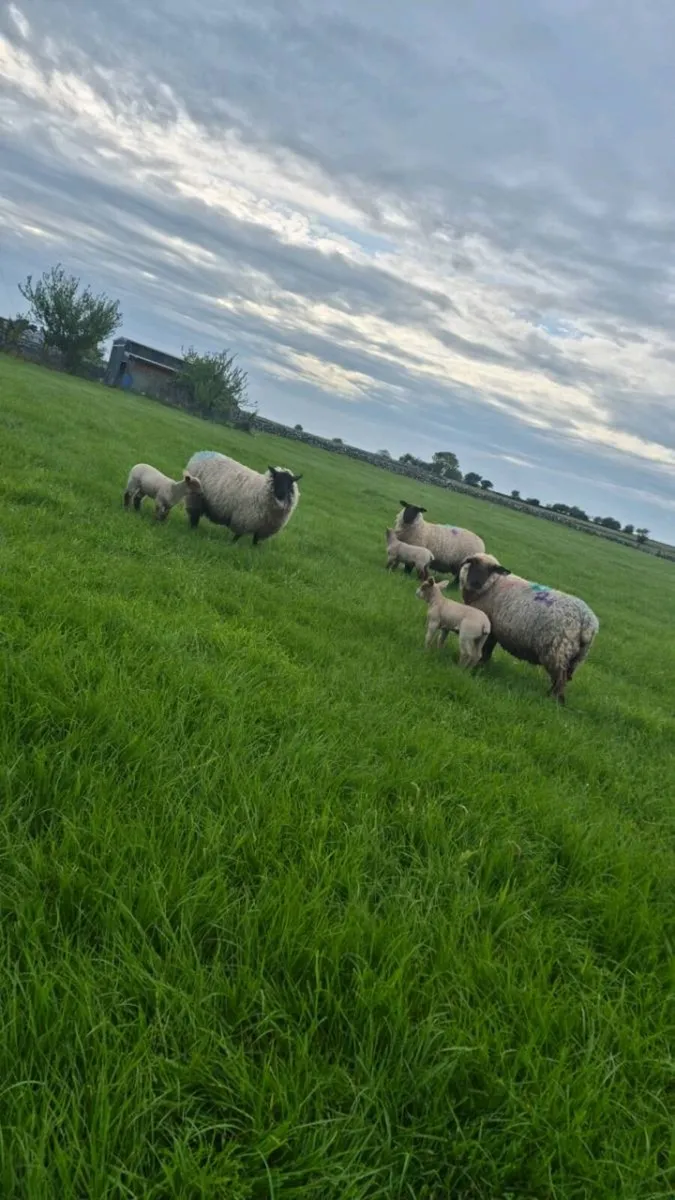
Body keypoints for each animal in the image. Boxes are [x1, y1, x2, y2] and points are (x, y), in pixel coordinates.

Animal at [458, 552, 600, 704]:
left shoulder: (490, 628)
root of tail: (588, 622)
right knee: (564, 678)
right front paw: (483, 664)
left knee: (560, 679)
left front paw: (480, 665)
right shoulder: (494, 630)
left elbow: (486, 649)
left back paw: (553, 700)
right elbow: (488, 650)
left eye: (491, 569)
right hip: (577, 657)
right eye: (472, 563)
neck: (493, 584)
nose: (475, 583)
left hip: (557, 650)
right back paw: (556, 698)